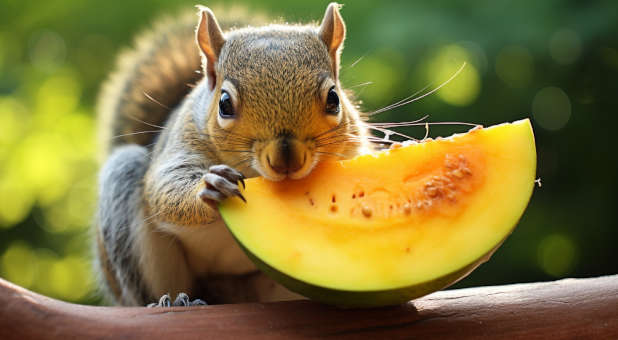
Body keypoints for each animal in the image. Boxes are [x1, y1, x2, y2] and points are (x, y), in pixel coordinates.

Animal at [94, 1, 372, 306]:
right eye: (224, 104)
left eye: (334, 98)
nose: (286, 159)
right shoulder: (183, 141)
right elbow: (166, 186)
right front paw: (210, 188)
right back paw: (173, 301)